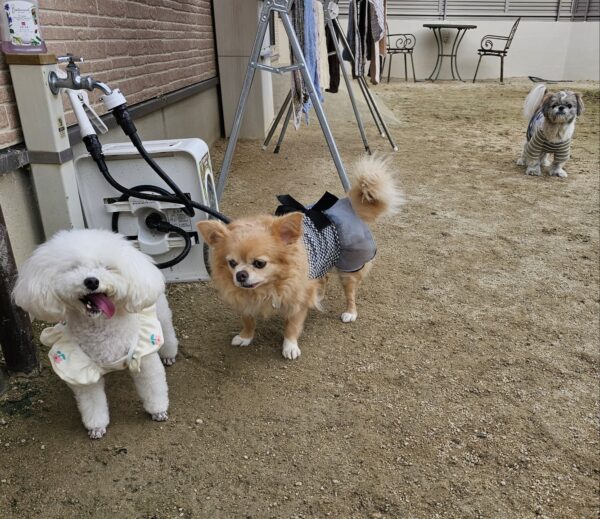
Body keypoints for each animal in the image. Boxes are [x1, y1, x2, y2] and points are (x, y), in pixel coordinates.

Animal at [13, 229, 178, 439]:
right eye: (73, 268)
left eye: (107, 267)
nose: (91, 281)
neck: (100, 326)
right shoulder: (81, 373)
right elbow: (92, 403)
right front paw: (96, 427)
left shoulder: (144, 357)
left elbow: (153, 387)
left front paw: (158, 410)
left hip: (160, 314)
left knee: (168, 332)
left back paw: (169, 354)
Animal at [197, 156, 402, 360]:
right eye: (232, 263)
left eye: (259, 263)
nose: (240, 275)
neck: (267, 288)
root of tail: (348, 203)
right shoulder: (246, 302)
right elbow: (248, 319)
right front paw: (245, 336)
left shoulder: (297, 302)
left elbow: (291, 326)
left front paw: (290, 346)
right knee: (324, 278)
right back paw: (319, 294)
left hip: (349, 267)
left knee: (350, 293)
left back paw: (350, 312)